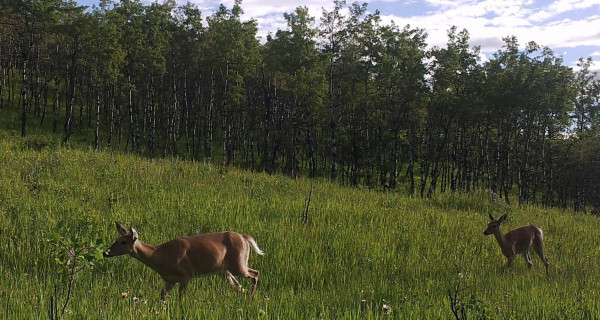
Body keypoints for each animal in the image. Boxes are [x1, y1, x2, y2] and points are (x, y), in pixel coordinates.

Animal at [104, 222, 264, 300]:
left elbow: (181, 299)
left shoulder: (185, 275)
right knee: (239, 286)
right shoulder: (169, 280)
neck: (160, 256)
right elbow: (161, 297)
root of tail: (244, 237)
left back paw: (251, 297)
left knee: (255, 273)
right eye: (116, 239)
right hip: (224, 271)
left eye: (123, 242)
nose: (106, 253)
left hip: (239, 264)